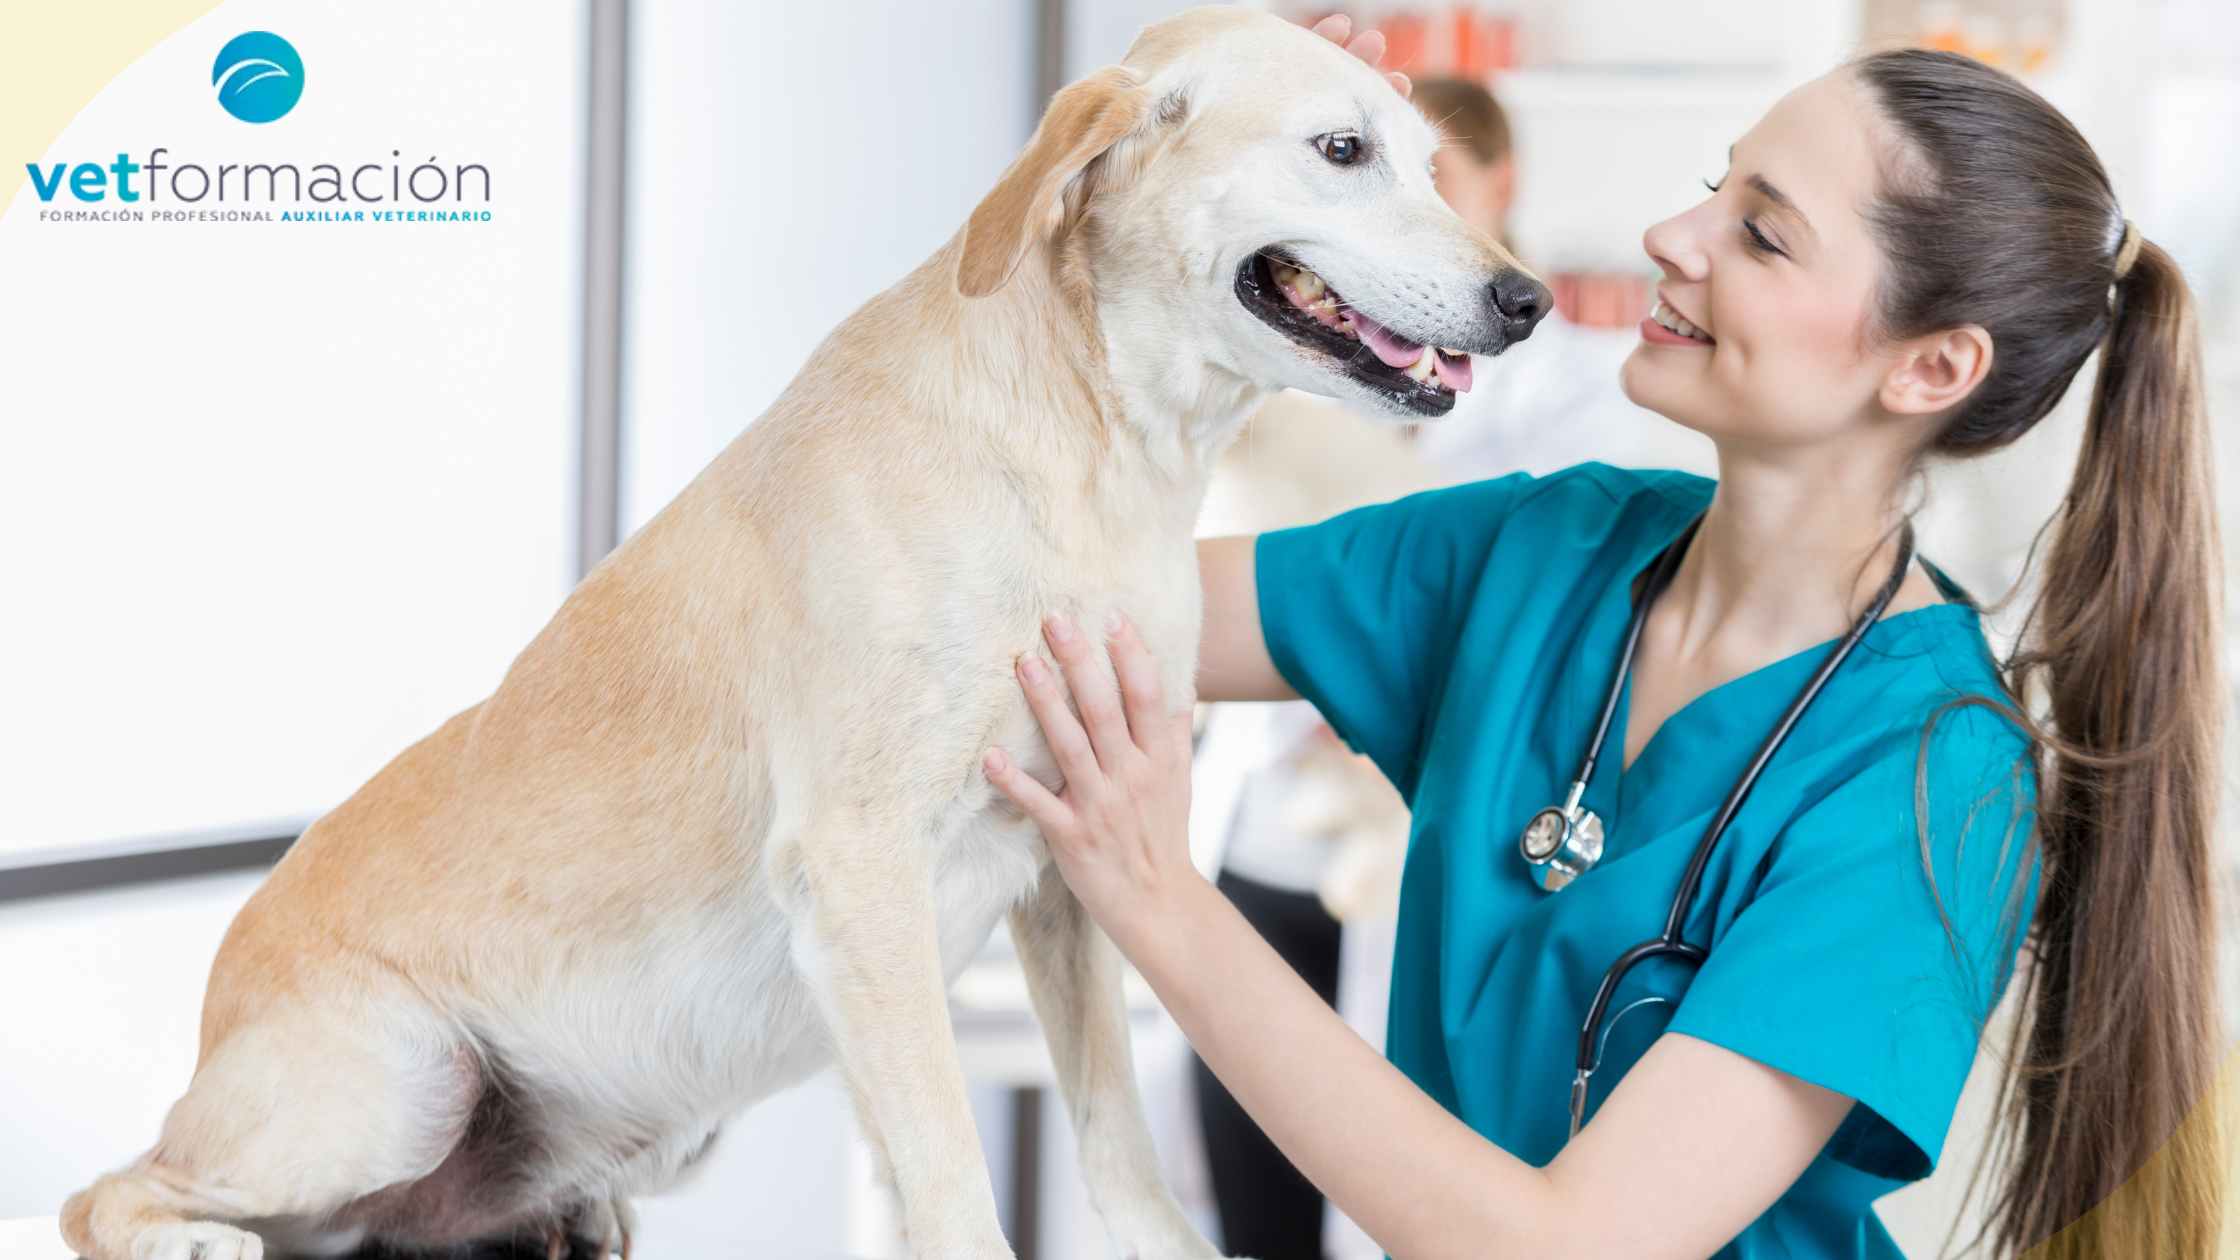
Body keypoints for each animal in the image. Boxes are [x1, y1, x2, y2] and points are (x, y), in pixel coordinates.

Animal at [65, 9, 1541, 1255]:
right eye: (1342, 151)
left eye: (1426, 161)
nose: (1527, 302)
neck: (1093, 458)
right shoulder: (863, 871)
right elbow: (952, 1181)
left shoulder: (1076, 868)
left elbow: (1117, 1141)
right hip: (383, 1091)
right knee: (114, 1192)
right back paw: (195, 1233)